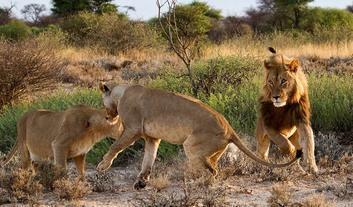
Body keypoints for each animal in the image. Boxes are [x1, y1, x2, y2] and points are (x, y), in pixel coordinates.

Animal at [97, 83, 302, 189]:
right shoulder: (152, 138)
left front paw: (102, 165)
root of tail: (228, 127)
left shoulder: (133, 129)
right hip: (214, 149)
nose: (106, 117)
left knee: (212, 170)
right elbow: (148, 160)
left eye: (102, 103)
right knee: (214, 164)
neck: (120, 93)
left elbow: (115, 146)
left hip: (191, 146)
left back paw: (200, 183)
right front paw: (141, 182)